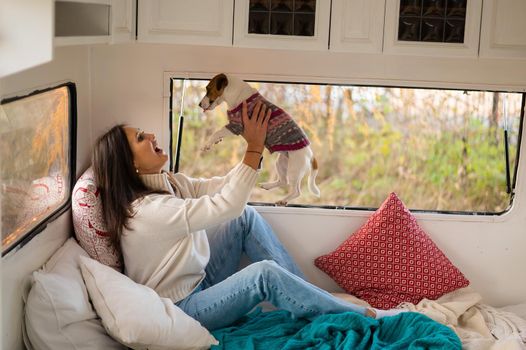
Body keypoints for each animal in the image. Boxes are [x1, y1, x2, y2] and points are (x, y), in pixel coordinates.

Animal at [199, 73, 320, 205]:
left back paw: (283, 200)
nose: (199, 104)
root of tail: (311, 154)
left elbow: (217, 132)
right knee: (283, 181)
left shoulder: (236, 125)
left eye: (208, 89)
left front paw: (207, 144)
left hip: (294, 169)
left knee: (296, 191)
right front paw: (215, 141)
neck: (237, 93)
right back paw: (268, 186)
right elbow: (219, 133)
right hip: (282, 162)